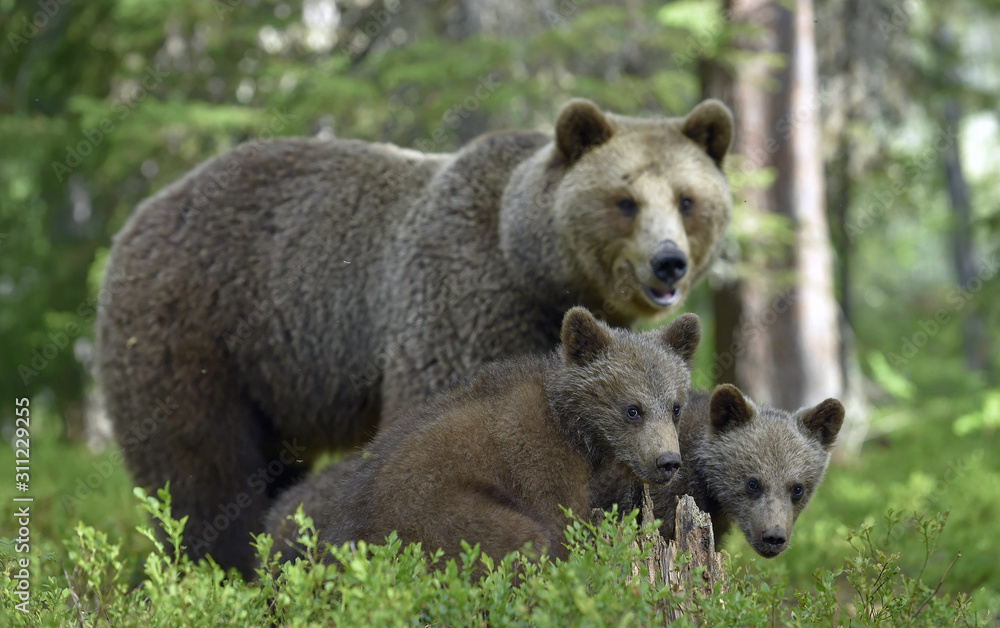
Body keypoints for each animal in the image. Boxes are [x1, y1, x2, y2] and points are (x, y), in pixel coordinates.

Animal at [264, 308, 702, 567]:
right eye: (632, 409)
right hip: (434, 519)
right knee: (517, 538)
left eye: (675, 406)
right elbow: (559, 523)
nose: (667, 461)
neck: (577, 430)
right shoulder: (537, 458)